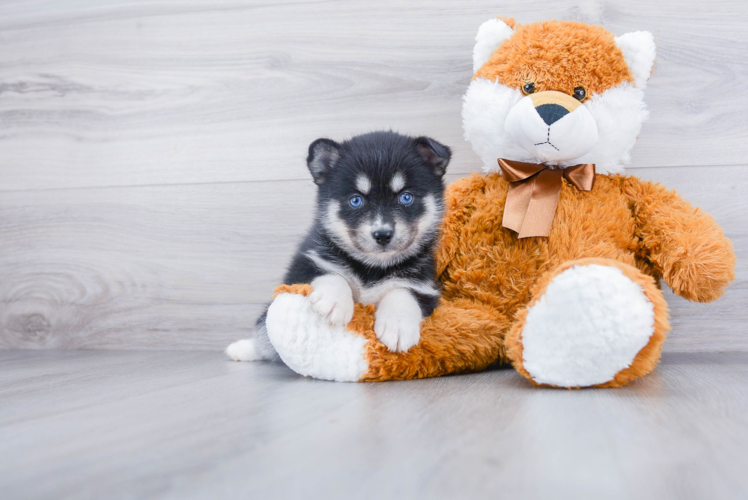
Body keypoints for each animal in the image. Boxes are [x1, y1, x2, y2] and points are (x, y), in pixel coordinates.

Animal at [226, 131, 450, 362]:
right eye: (355, 200)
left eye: (406, 197)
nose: (382, 234)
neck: (371, 268)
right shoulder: (302, 266)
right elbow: (330, 273)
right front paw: (332, 301)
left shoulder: (426, 286)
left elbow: (403, 292)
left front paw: (397, 325)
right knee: (265, 335)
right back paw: (243, 349)